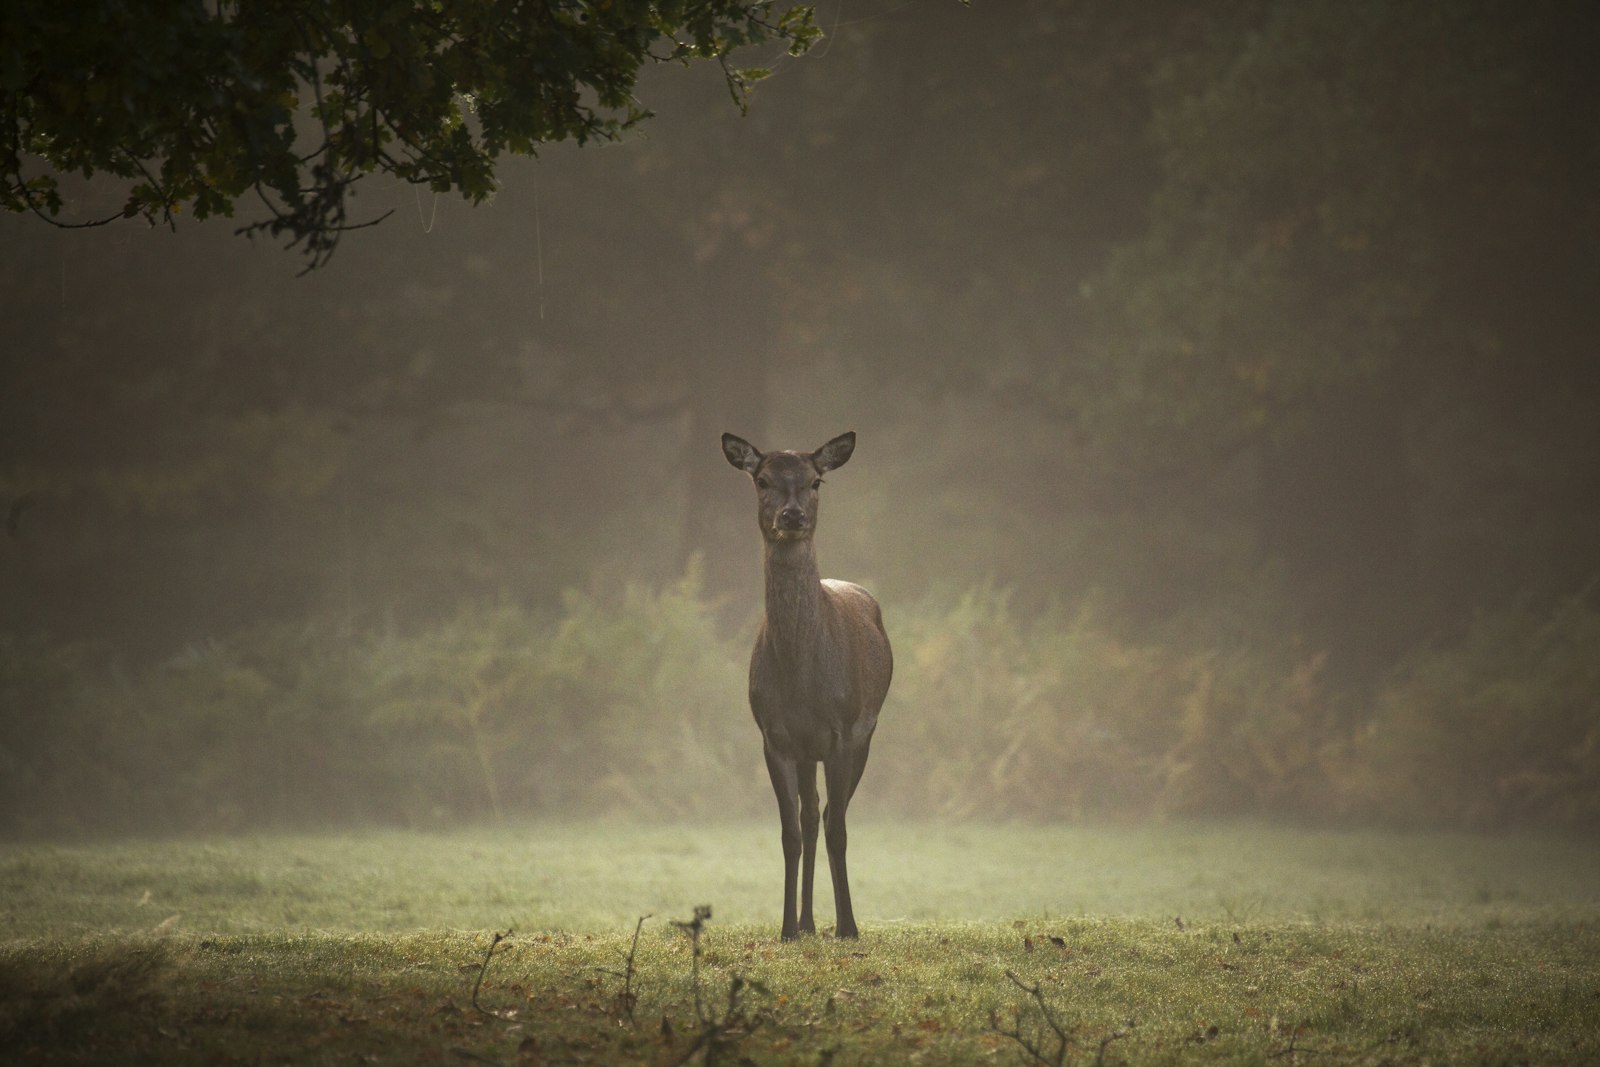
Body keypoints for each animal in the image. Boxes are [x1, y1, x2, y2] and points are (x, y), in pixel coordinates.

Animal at [723, 428, 896, 940]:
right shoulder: (774, 737)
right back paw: (806, 922)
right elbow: (790, 833)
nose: (793, 514)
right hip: (806, 753)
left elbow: (838, 828)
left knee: (829, 814)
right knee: (810, 814)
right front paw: (785, 929)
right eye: (761, 480)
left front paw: (849, 927)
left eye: (816, 481)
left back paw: (829, 922)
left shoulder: (843, 732)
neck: (801, 679)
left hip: (866, 734)